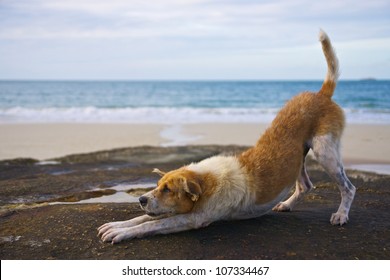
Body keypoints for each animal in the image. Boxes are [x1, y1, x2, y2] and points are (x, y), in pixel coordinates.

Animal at [97, 30, 356, 244]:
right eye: (159, 185)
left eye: (168, 190)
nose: (141, 199)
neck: (206, 181)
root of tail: (322, 93)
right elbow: (142, 219)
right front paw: (118, 225)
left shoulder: (194, 219)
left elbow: (152, 224)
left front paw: (121, 232)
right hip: (299, 157)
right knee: (305, 185)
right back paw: (287, 204)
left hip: (325, 152)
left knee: (349, 187)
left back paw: (341, 215)